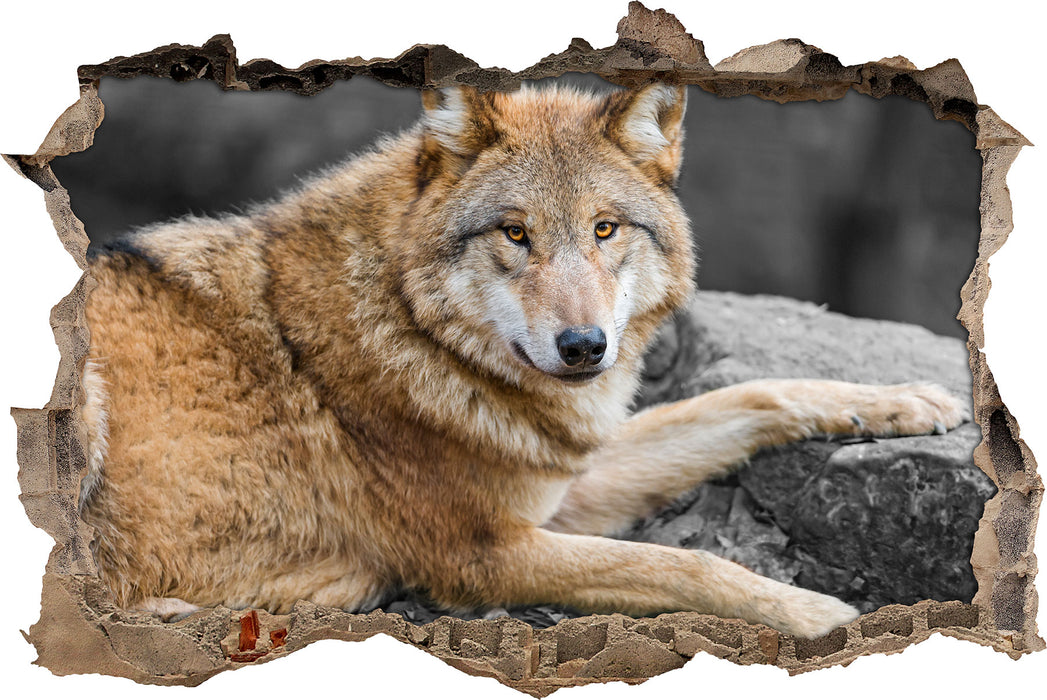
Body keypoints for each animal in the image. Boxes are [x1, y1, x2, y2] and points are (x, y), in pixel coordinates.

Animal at [80, 83, 967, 638]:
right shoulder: (487, 555)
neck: (413, 332)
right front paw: (823, 616)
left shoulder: (562, 486)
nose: (583, 347)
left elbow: (748, 396)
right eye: (515, 233)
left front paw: (905, 400)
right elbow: (681, 564)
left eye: (605, 229)